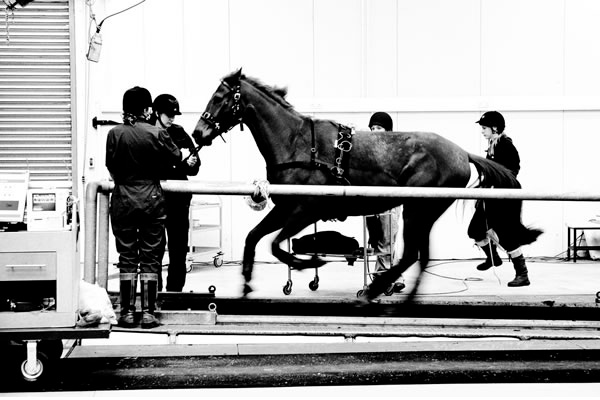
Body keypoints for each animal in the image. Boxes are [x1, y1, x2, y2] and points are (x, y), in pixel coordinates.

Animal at [193, 69, 544, 302]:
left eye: (220, 97)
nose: (198, 132)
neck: (297, 143)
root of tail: (461, 153)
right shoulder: (286, 207)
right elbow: (255, 238)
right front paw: (246, 283)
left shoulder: (306, 209)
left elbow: (277, 245)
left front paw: (310, 263)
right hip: (422, 213)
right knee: (420, 256)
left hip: (418, 209)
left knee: (411, 254)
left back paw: (377, 288)